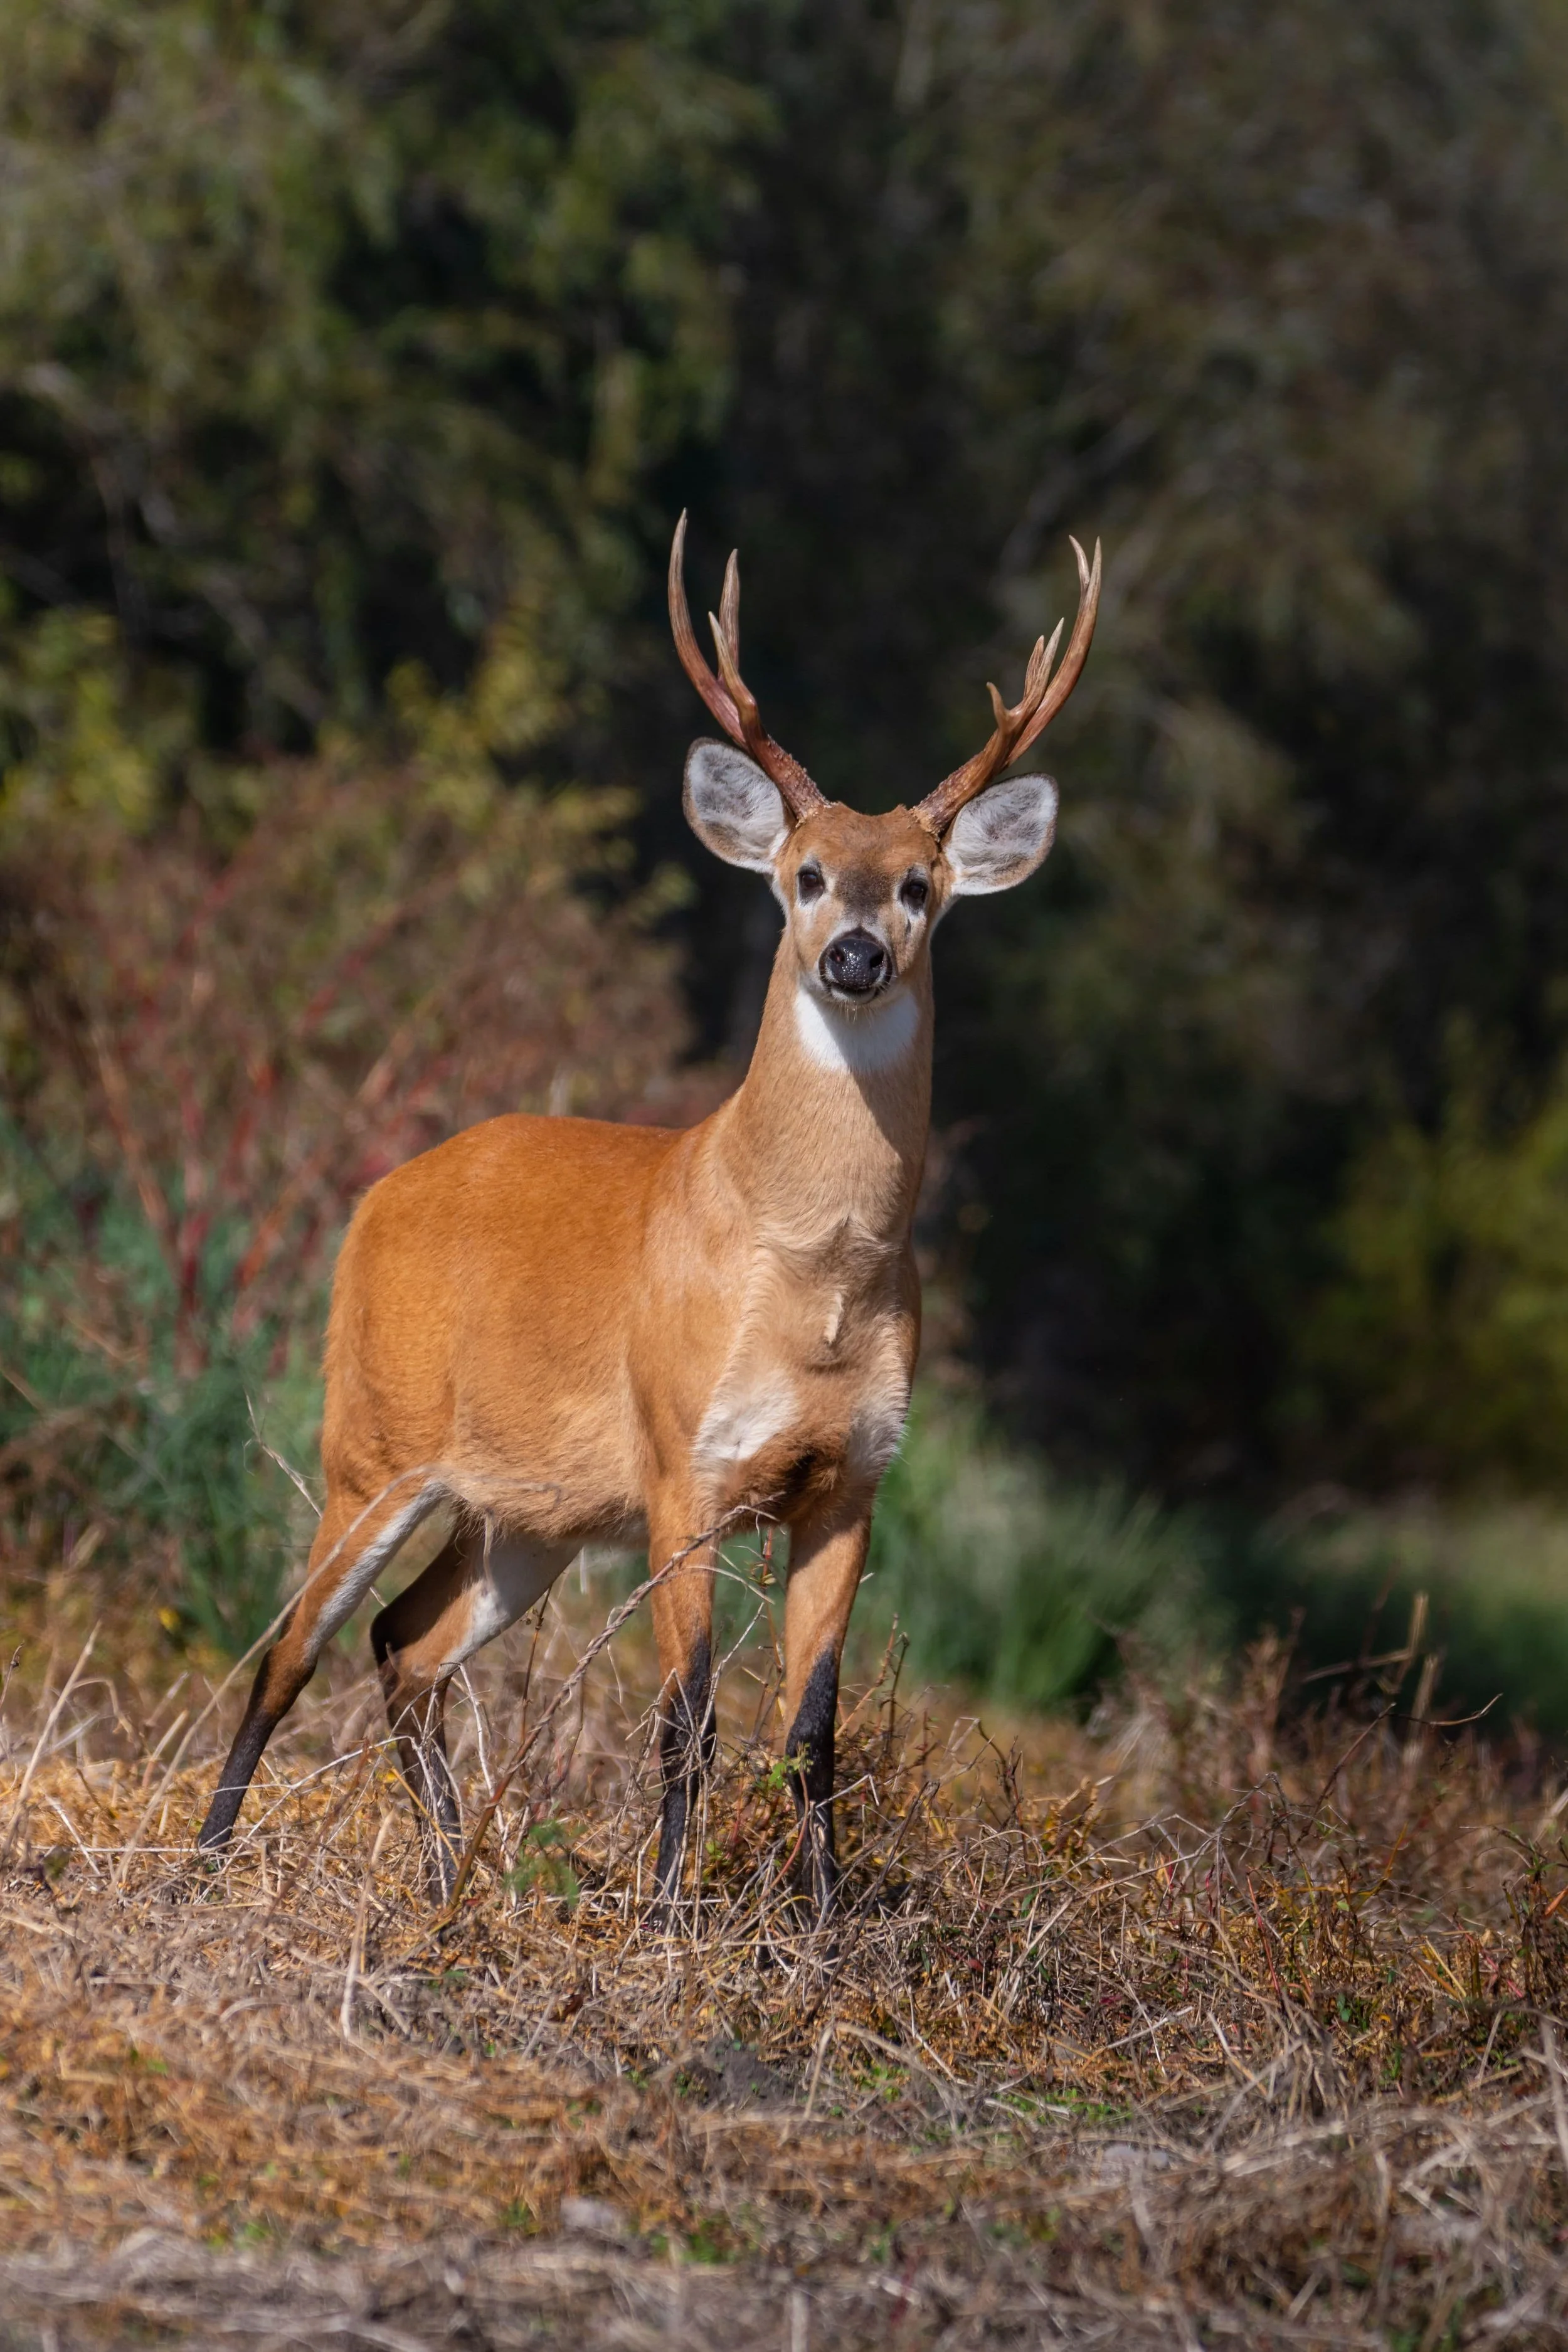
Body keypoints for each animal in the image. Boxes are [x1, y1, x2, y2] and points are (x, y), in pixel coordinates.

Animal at [196, 514, 1101, 1919]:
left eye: (918, 889)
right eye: (804, 875)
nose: (853, 957)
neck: (812, 1273)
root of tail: (375, 1196)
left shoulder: (851, 1481)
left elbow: (812, 1730)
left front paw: (820, 1927)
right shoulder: (686, 1460)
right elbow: (688, 1715)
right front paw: (670, 1915)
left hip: (528, 1514)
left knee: (407, 1641)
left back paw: (451, 1878)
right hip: (372, 1443)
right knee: (290, 1647)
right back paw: (200, 1868)